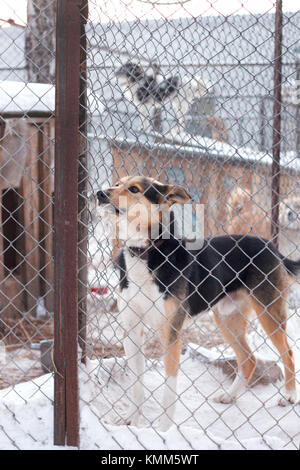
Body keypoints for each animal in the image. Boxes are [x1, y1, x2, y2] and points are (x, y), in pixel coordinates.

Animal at [98, 175, 298, 430]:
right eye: (116, 184)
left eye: (133, 189)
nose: (99, 193)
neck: (145, 253)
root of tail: (270, 245)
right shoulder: (132, 331)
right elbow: (136, 386)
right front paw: (131, 420)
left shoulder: (171, 335)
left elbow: (169, 391)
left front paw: (164, 431)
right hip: (227, 319)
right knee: (249, 359)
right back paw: (230, 395)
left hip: (269, 313)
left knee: (288, 353)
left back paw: (289, 396)